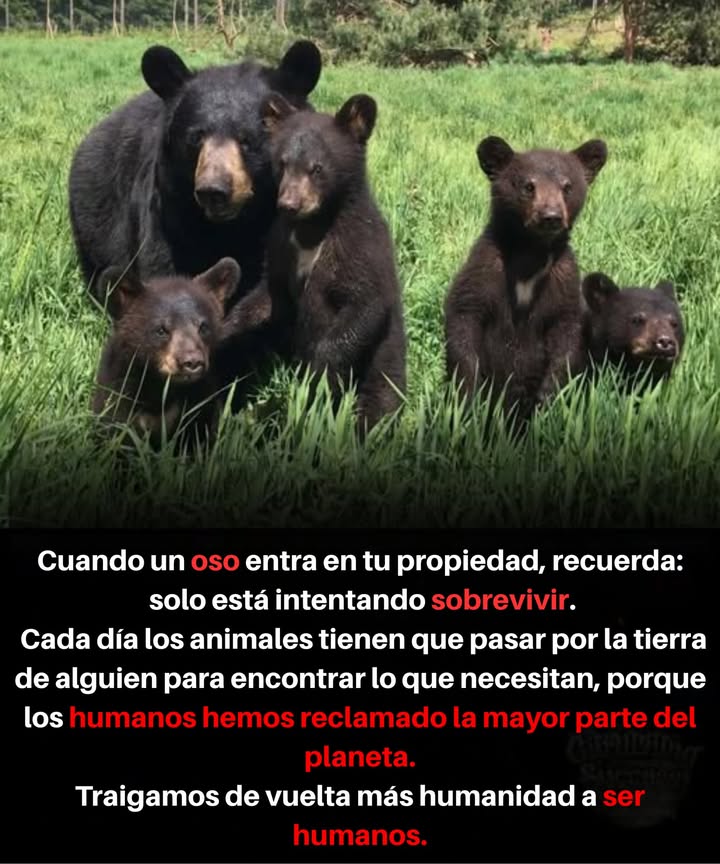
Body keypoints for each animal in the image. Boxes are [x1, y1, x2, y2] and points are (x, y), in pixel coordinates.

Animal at [69, 40, 321, 303]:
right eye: (196, 137)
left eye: (247, 139)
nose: (213, 190)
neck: (233, 225)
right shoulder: (170, 213)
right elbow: (163, 265)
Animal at [92, 258, 240, 447]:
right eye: (161, 330)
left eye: (203, 327)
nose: (192, 362)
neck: (159, 389)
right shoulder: (117, 393)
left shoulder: (201, 403)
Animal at [223, 91, 407, 434]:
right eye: (282, 163)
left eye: (317, 168)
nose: (290, 204)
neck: (312, 229)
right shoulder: (281, 246)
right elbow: (267, 297)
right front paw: (226, 331)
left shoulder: (360, 246)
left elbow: (363, 303)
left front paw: (314, 379)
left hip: (385, 356)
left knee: (382, 396)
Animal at [444, 135, 607, 422]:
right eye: (528, 186)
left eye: (567, 186)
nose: (551, 216)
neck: (530, 254)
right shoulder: (486, 271)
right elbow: (464, 317)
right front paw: (468, 396)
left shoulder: (562, 280)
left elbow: (567, 332)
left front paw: (546, 397)